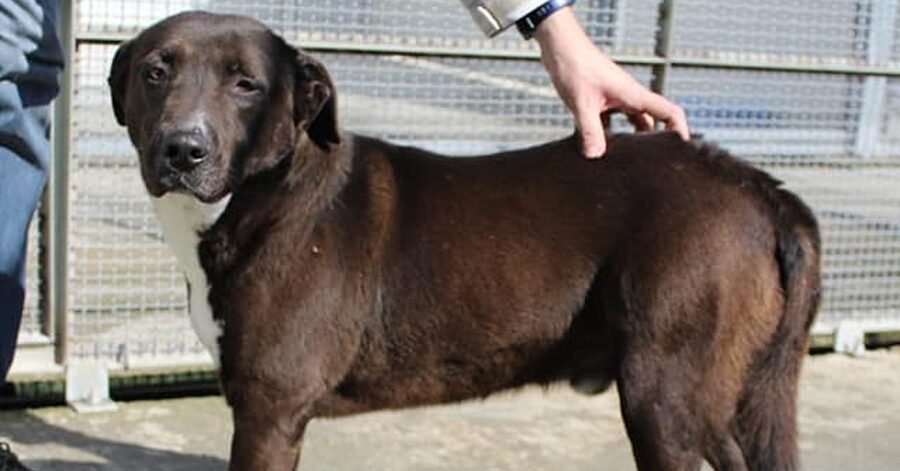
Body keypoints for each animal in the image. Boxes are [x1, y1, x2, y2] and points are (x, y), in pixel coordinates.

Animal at [109, 11, 820, 471]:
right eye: (154, 71)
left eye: (247, 84)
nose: (183, 149)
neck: (265, 196)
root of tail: (759, 184)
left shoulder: (269, 409)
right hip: (712, 395)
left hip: (665, 396)